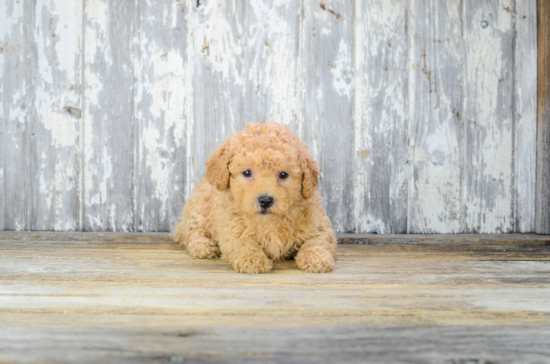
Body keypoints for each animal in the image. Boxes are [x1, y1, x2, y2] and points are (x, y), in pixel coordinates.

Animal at [174, 122, 336, 272]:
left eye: (283, 174)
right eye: (247, 173)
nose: (265, 201)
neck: (268, 221)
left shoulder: (319, 225)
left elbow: (316, 241)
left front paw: (316, 259)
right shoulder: (230, 230)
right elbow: (244, 243)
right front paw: (253, 261)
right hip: (198, 209)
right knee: (191, 231)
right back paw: (203, 246)